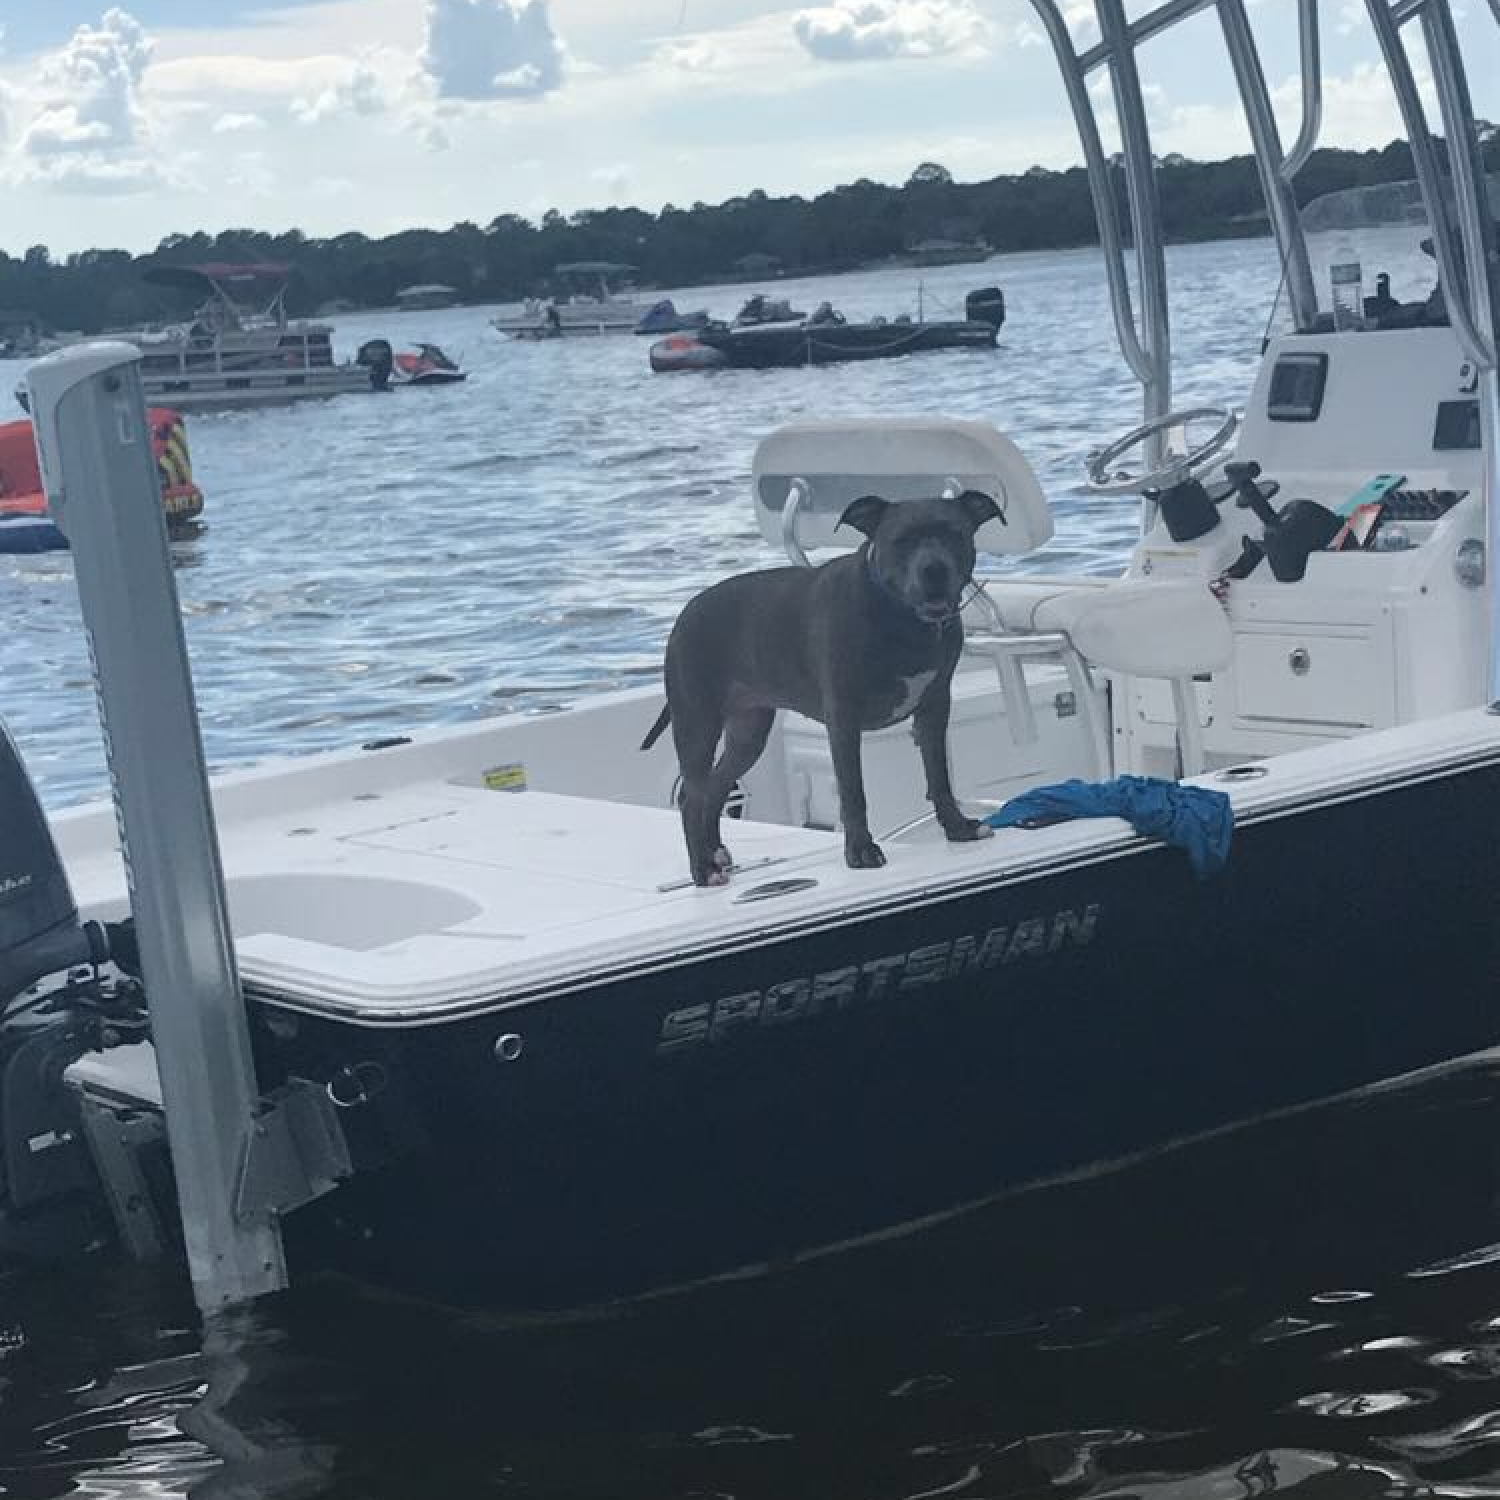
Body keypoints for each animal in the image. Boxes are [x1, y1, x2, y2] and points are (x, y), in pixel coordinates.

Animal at [639, 492, 1002, 882]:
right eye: (900, 540)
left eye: (955, 534)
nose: (934, 570)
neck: (900, 618)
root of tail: (682, 617)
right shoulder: (843, 718)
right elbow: (852, 791)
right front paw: (860, 851)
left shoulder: (934, 708)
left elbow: (940, 778)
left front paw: (958, 828)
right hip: (697, 723)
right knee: (691, 797)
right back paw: (703, 869)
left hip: (748, 733)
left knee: (716, 786)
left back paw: (716, 855)